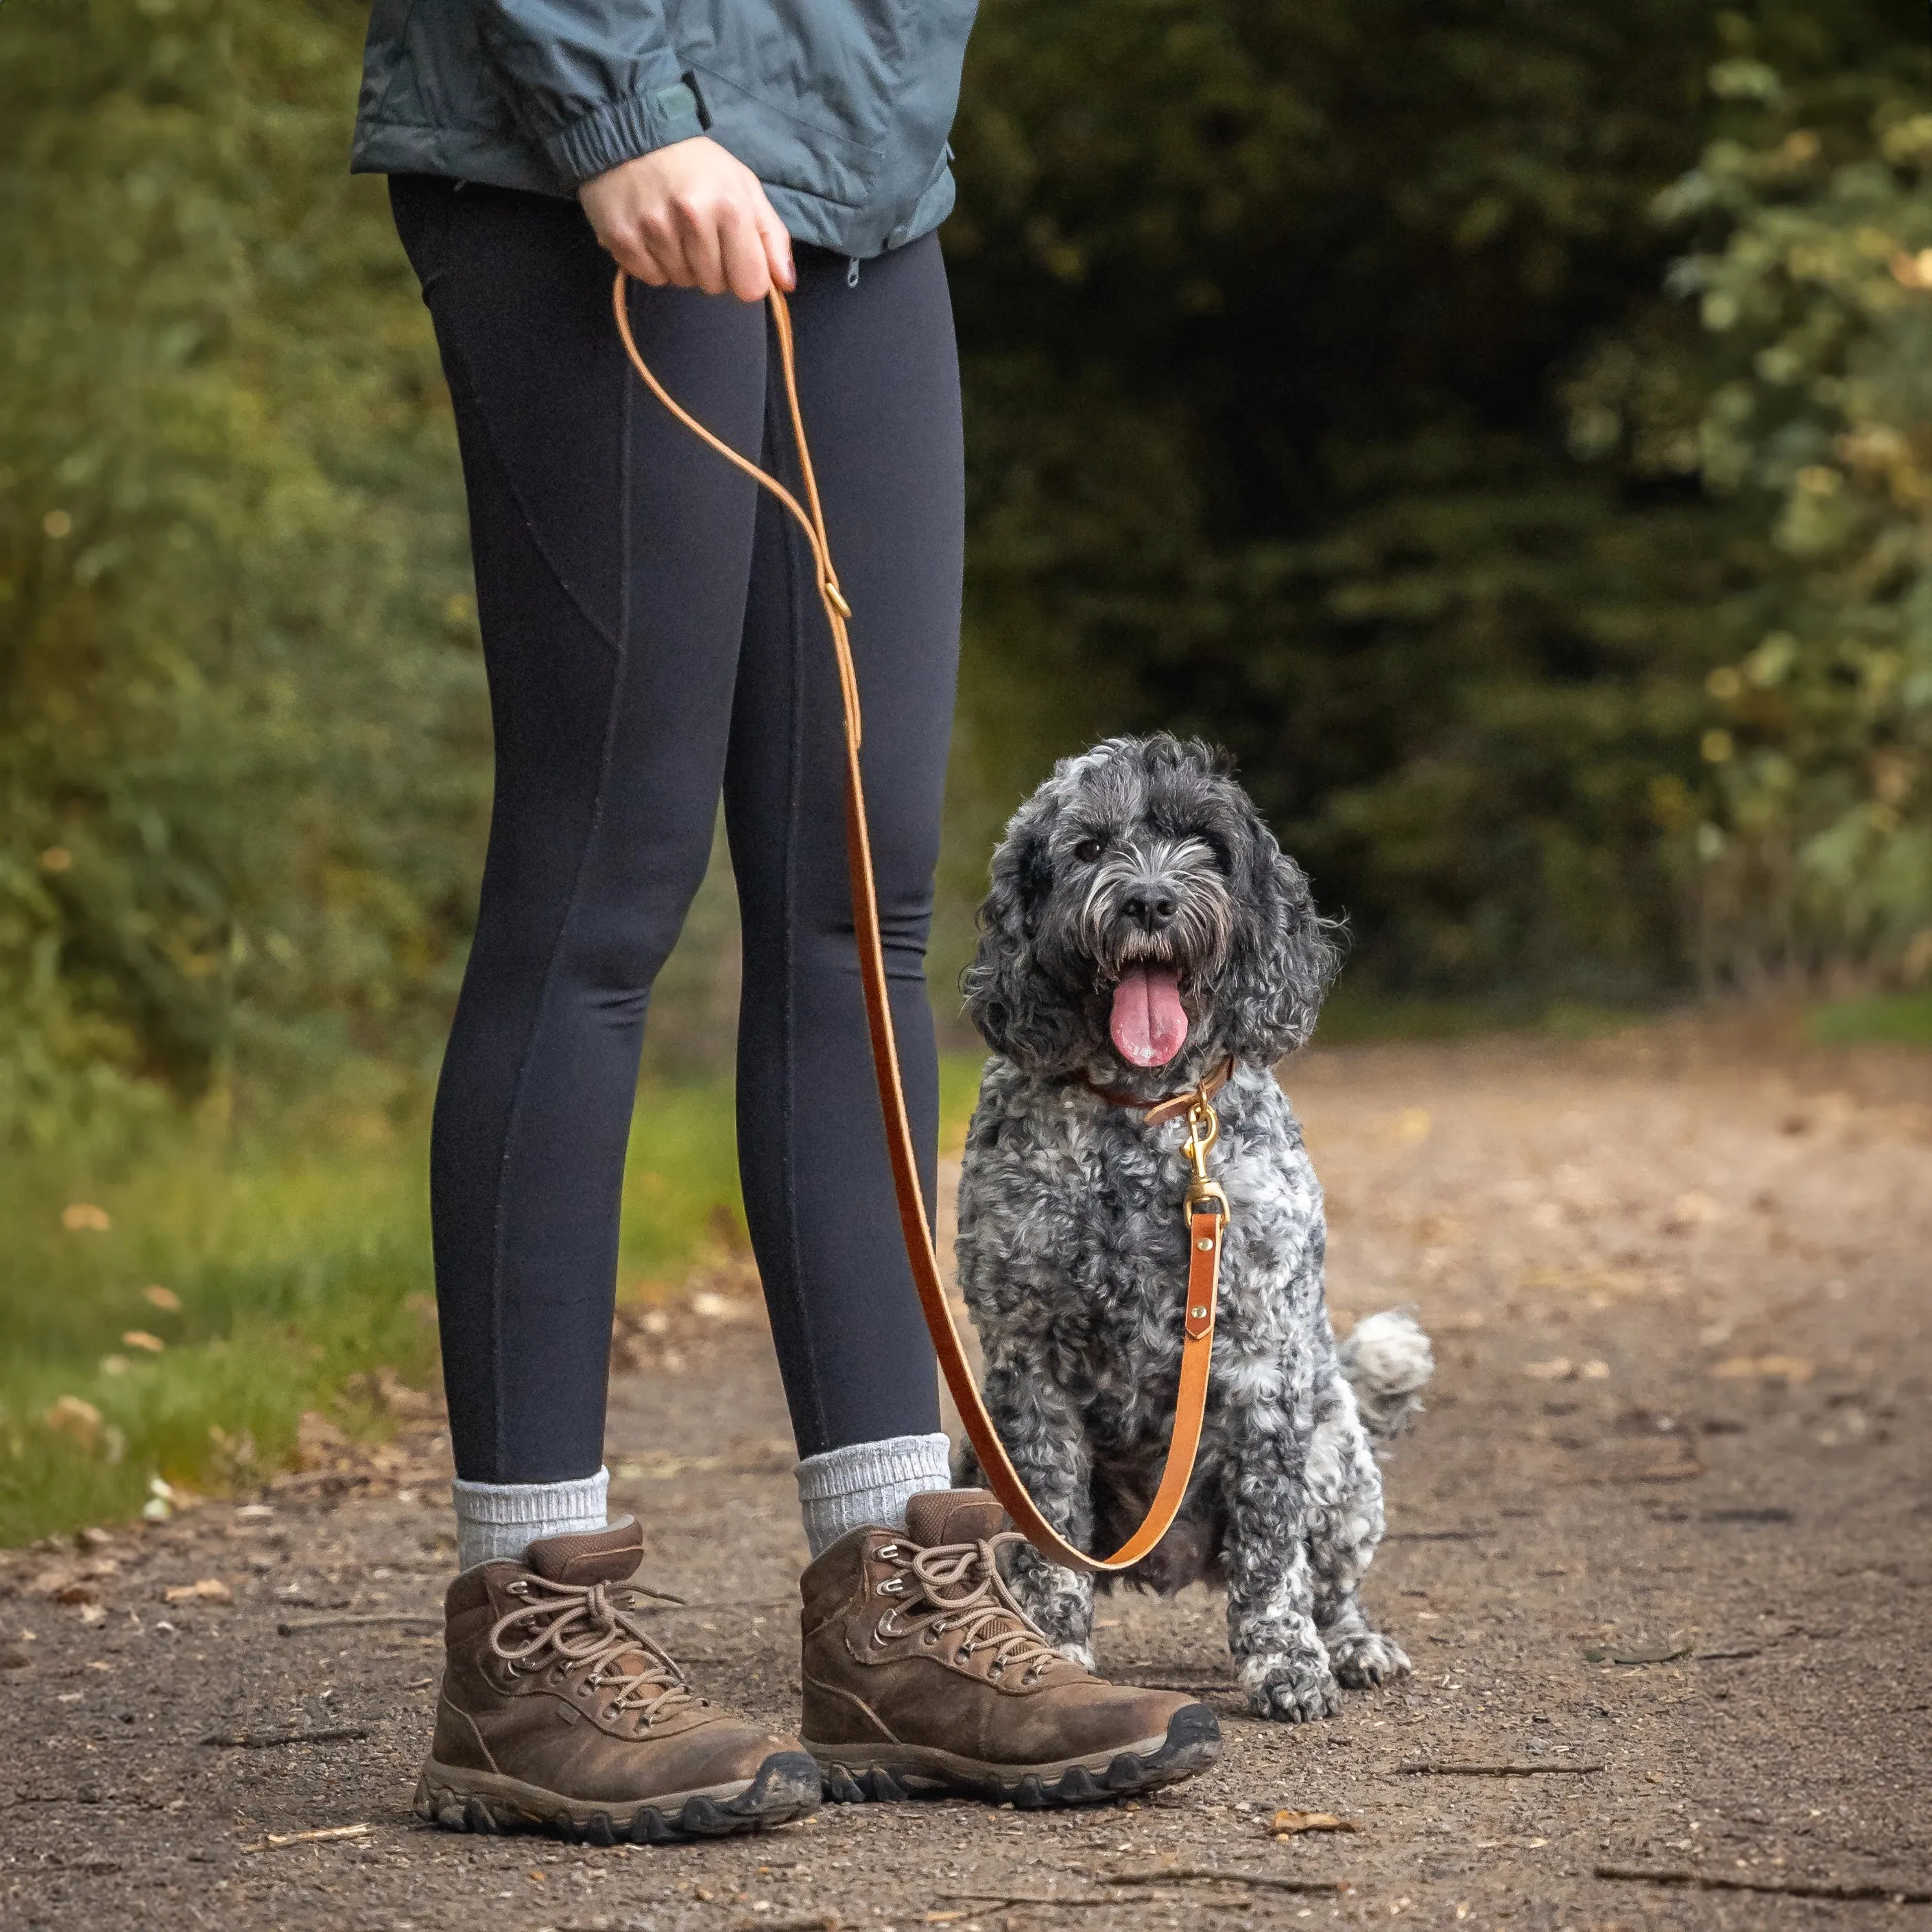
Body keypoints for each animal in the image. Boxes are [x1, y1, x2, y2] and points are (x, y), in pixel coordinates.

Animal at [954, 726, 1437, 1723]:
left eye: (1204, 843)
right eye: (1089, 845)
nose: (1149, 899)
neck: (1144, 1115)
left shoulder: (1258, 1360)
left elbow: (1269, 1547)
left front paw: (1285, 1661)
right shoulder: (1028, 1366)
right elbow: (1052, 1543)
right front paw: (1053, 1649)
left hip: (1340, 1465)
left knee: (1331, 1580)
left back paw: (1352, 1644)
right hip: (974, 1464)